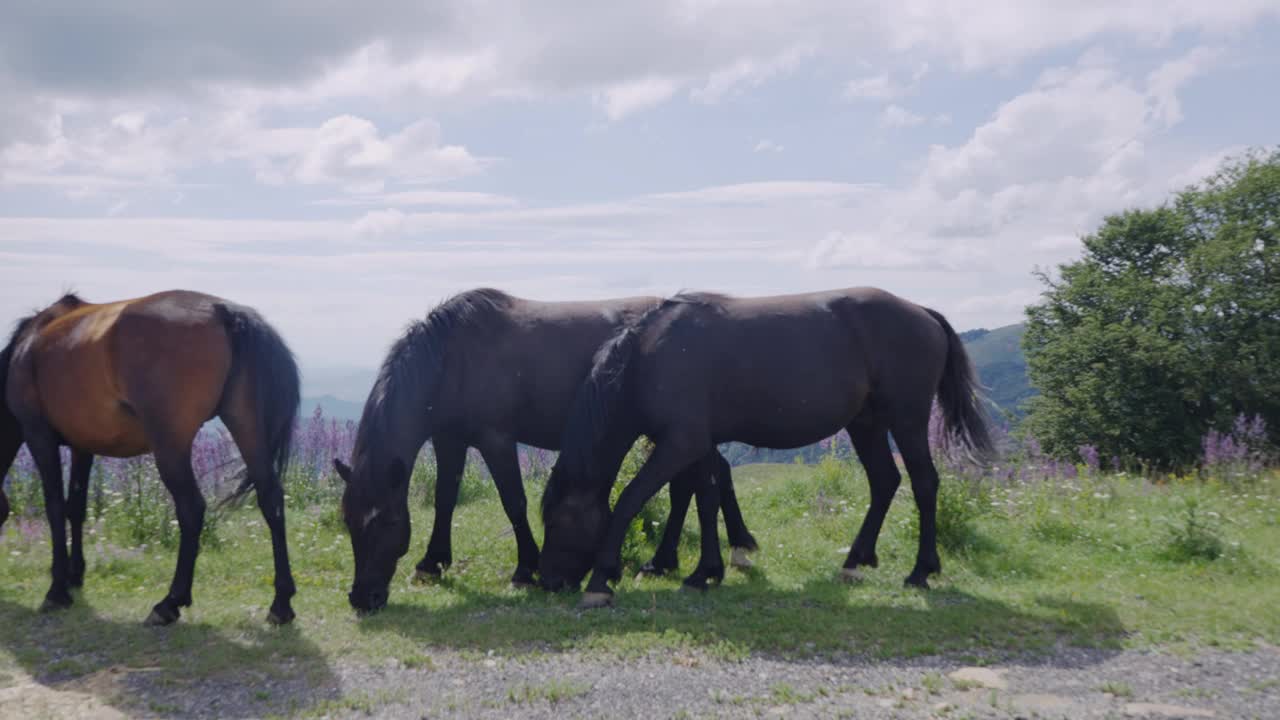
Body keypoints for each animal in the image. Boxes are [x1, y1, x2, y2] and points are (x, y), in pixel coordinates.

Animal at [1, 289, 299, 622]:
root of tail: (224, 311)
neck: (28, 346)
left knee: (191, 508)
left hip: (170, 445)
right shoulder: (83, 445)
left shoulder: (37, 435)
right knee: (271, 498)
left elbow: (54, 507)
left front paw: (57, 590)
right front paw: (75, 576)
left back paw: (169, 602)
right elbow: (75, 507)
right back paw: (281, 603)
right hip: (245, 425)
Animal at [330, 285, 752, 609]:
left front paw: (525, 569)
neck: (452, 357)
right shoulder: (448, 439)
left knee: (698, 481)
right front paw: (432, 562)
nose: (362, 598)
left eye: (386, 523)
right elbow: (445, 498)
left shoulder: (495, 440)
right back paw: (686, 557)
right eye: (348, 521)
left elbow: (513, 502)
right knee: (699, 480)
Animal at [535, 285, 993, 604]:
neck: (649, 360)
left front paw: (602, 579)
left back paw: (920, 571)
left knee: (924, 483)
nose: (548, 581)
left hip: (908, 419)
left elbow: (631, 499)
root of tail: (923, 312)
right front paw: (705, 572)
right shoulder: (699, 444)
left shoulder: (680, 444)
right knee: (884, 482)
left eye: (556, 522)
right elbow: (706, 499)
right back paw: (854, 562)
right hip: (866, 424)